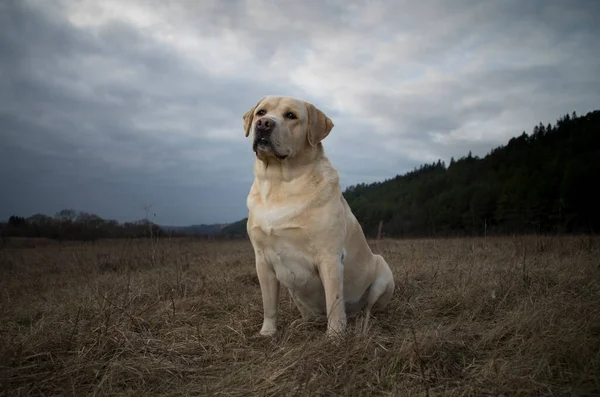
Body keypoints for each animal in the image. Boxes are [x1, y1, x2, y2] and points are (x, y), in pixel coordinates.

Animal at [241, 94, 396, 336]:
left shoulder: (329, 257)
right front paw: (267, 332)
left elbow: (334, 301)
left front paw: (335, 336)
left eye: (291, 115)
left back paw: (361, 323)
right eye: (261, 112)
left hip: (383, 272)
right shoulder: (262, 260)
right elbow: (269, 303)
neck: (279, 182)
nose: (264, 124)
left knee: (368, 307)